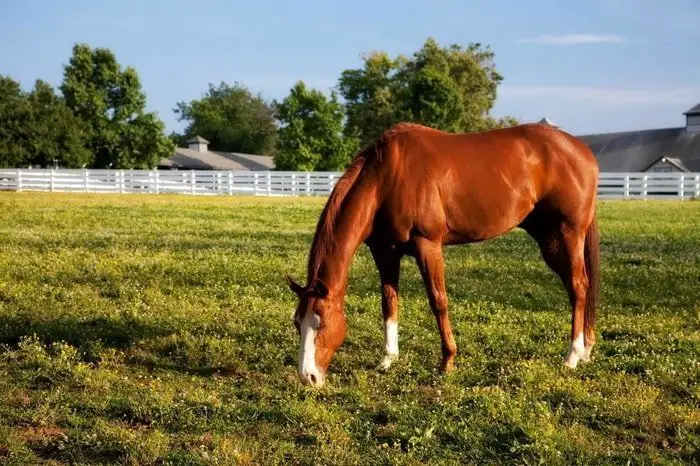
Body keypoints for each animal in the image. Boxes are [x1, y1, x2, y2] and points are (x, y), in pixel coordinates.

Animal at [282, 120, 600, 386]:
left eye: (321, 322)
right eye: (297, 322)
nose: (308, 377)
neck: (387, 177)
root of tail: (583, 152)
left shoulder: (428, 245)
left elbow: (438, 301)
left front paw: (447, 360)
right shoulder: (385, 252)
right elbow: (389, 302)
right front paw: (388, 359)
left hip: (565, 236)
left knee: (578, 286)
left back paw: (573, 356)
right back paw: (585, 350)